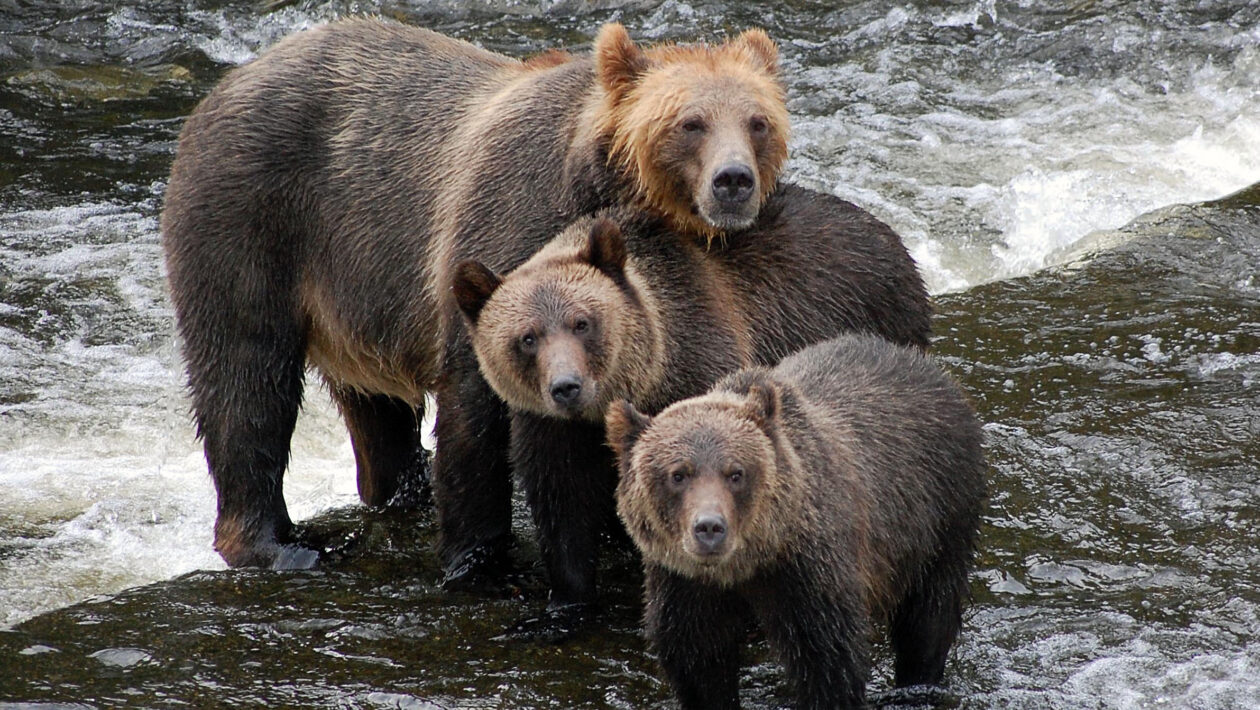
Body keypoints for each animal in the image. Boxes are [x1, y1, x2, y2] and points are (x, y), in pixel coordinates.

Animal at [157, 16, 786, 572]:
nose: (733, 180)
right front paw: (479, 556)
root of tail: (226, 84)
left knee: (377, 413)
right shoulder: (503, 235)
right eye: (691, 122)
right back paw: (280, 545)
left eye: (758, 121)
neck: (602, 191)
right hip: (250, 213)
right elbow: (475, 408)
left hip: (355, 298)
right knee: (245, 375)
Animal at [448, 181, 932, 633]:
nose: (567, 386)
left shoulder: (702, 361)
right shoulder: (551, 427)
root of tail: (888, 234)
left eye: (582, 323)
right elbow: (562, 504)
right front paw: (559, 610)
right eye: (527, 337)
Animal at [604, 335, 987, 710]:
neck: (748, 564)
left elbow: (829, 661)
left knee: (928, 614)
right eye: (678, 474)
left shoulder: (807, 573)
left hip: (940, 514)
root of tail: (931, 370)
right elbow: (697, 657)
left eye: (736, 473)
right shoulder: (684, 583)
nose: (710, 527)